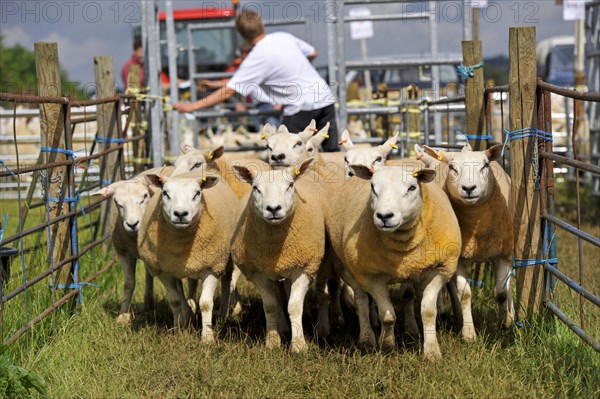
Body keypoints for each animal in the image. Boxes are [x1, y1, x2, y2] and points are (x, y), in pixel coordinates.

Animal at [138, 173, 237, 342]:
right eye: (165, 193)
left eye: (197, 193)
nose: (180, 214)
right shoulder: (164, 271)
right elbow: (175, 300)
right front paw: (178, 331)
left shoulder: (212, 267)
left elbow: (206, 303)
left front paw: (207, 338)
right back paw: (187, 314)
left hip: (224, 258)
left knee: (226, 279)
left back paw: (222, 316)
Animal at [230, 159, 326, 354]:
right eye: (256, 188)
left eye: (290, 185)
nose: (273, 209)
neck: (275, 248)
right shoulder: (258, 272)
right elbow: (270, 306)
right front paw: (273, 341)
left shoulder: (304, 268)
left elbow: (294, 306)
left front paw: (298, 345)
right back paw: (282, 327)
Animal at [328, 161, 460, 360]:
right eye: (372, 187)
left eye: (412, 187)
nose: (384, 216)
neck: (403, 241)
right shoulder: (372, 277)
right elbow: (388, 316)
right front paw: (388, 346)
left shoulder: (440, 269)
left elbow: (428, 311)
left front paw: (431, 352)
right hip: (349, 269)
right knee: (361, 301)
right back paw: (367, 339)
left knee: (408, 296)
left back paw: (411, 331)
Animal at [422, 143, 516, 338]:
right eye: (452, 168)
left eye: (485, 165)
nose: (469, 188)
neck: (477, 229)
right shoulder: (458, 258)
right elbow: (464, 294)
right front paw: (468, 333)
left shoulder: (503, 254)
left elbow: (502, 292)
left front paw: (505, 323)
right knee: (452, 289)